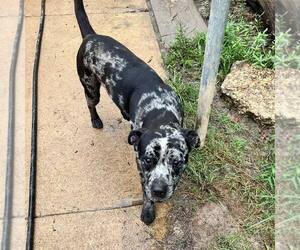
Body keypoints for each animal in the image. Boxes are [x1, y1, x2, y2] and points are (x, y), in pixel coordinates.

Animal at [74, 0, 200, 225]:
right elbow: (144, 190)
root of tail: (91, 36)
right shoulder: (140, 166)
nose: (159, 190)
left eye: (176, 162)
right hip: (90, 87)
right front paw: (148, 210)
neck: (160, 110)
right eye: (148, 160)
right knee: (90, 104)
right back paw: (95, 120)